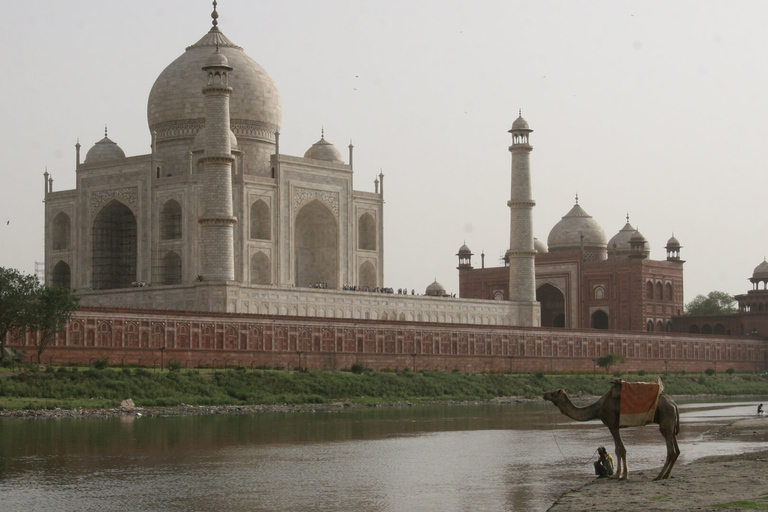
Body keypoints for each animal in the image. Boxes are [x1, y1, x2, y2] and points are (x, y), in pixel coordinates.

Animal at [544, 384, 680, 480]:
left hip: (665, 419)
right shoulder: (614, 426)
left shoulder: (612, 425)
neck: (598, 409)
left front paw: (621, 475)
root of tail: (673, 403)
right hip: (671, 422)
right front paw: (620, 474)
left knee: (670, 450)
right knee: (676, 450)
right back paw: (666, 475)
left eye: (554, 393)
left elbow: (620, 450)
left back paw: (659, 476)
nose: (544, 394)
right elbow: (618, 450)